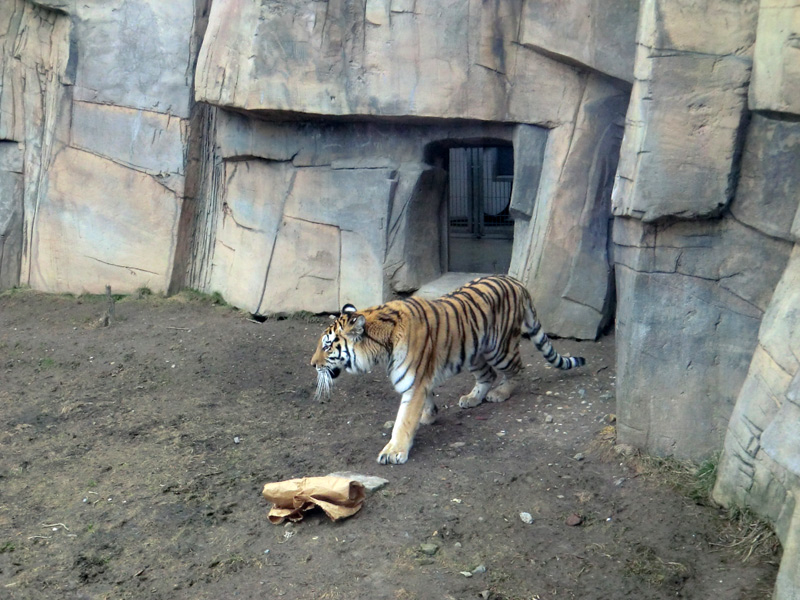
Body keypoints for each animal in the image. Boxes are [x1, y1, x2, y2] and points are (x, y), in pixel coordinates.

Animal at [310, 274, 584, 466]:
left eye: (327, 346)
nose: (312, 364)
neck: (381, 346)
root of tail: (516, 281)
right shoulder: (421, 379)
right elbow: (426, 400)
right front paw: (429, 416)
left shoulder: (414, 382)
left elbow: (403, 420)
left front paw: (395, 451)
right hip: (473, 352)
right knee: (488, 375)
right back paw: (472, 398)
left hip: (500, 348)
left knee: (516, 368)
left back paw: (501, 393)